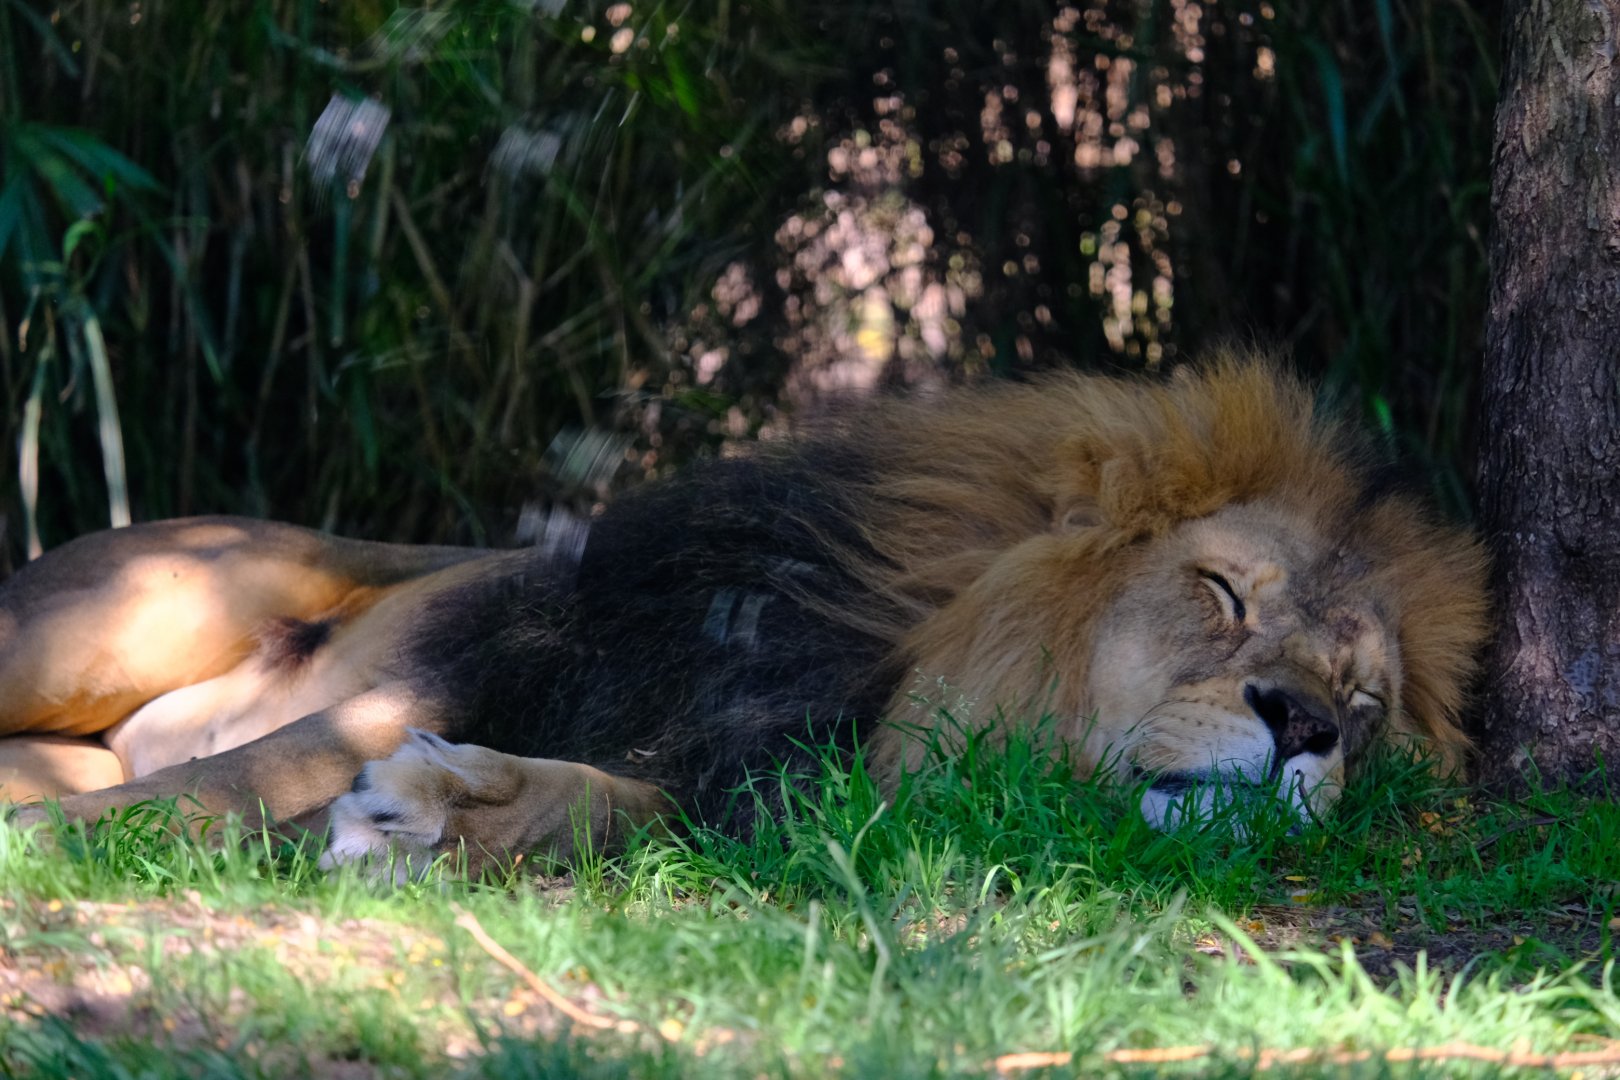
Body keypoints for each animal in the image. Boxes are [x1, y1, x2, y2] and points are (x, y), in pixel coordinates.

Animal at [0, 354, 1489, 870]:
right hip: (96, 623)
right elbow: (215, 788)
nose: (1303, 728)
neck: (867, 683)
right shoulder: (458, 672)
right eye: (1222, 592)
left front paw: (449, 816)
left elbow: (610, 805)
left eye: (1365, 708)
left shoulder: (739, 777)